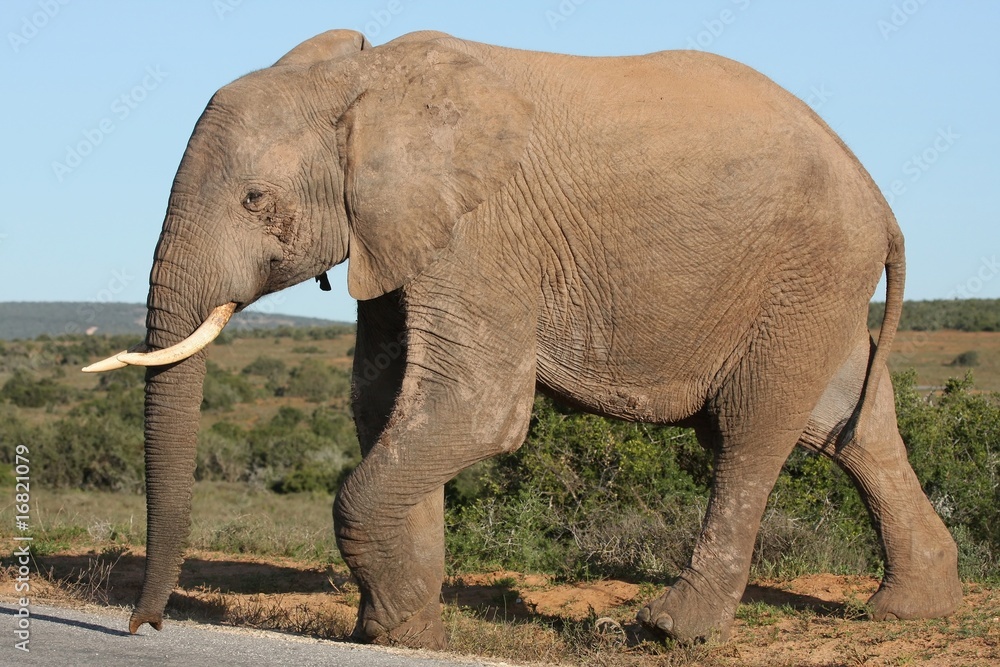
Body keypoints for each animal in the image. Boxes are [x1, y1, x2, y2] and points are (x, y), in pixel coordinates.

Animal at [84, 29, 962, 648]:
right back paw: (907, 609)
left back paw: (670, 629)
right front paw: (403, 629)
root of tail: (878, 195)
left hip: (800, 271)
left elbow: (477, 411)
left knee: (752, 431)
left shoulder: (485, 234)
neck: (368, 83)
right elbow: (385, 402)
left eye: (255, 200)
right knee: (849, 424)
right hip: (814, 284)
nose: (145, 625)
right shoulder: (402, 232)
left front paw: (396, 626)